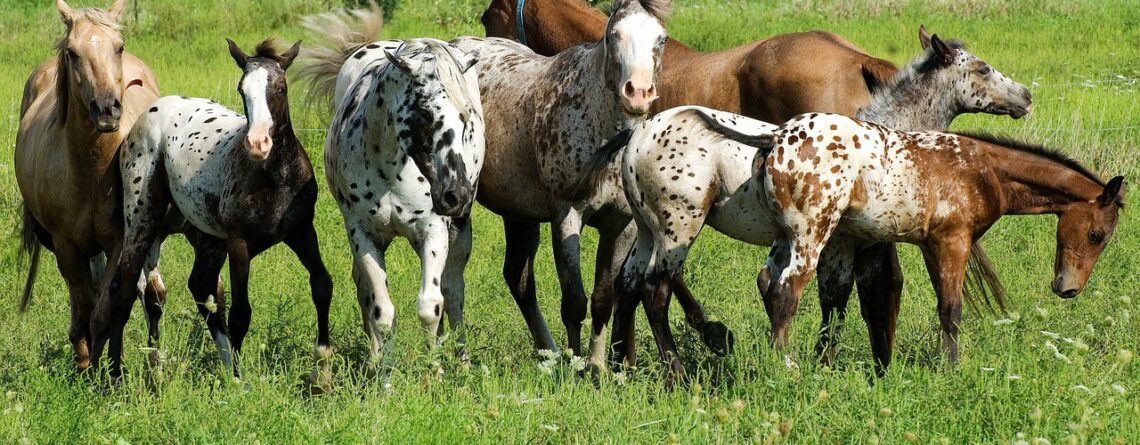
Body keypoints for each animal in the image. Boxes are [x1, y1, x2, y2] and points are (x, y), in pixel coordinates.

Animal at [14, 0, 164, 371]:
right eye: (72, 52)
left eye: (119, 47)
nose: (107, 109)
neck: (92, 172)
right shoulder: (66, 246)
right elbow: (84, 306)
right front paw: (85, 365)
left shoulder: (118, 242)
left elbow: (102, 312)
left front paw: (103, 372)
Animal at [296, 11, 483, 365]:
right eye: (425, 112)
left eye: (466, 117)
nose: (456, 195)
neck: (392, 170)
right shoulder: (363, 235)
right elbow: (380, 310)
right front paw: (383, 370)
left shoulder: (433, 230)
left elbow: (430, 306)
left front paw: (434, 371)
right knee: (364, 290)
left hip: (458, 232)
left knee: (453, 290)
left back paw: (463, 361)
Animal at [449, 0, 670, 367]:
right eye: (614, 34)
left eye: (661, 38)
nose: (638, 93)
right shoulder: (567, 216)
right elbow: (574, 302)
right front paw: (575, 365)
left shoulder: (620, 226)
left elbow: (602, 299)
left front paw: (596, 367)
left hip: (518, 212)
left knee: (518, 278)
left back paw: (549, 353)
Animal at [560, 26, 1035, 383]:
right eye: (981, 68)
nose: (1025, 96)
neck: (881, 141)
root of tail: (636, 137)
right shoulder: (843, 242)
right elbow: (864, 295)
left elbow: (836, 296)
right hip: (678, 229)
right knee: (654, 289)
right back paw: (676, 370)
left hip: (646, 229)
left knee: (627, 285)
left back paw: (621, 366)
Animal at [752, 114, 1126, 365]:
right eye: (1096, 235)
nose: (1068, 288)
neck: (985, 169)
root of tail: (778, 138)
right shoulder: (953, 242)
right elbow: (952, 308)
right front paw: (951, 368)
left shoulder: (933, 247)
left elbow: (942, 306)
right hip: (810, 234)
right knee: (787, 291)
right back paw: (783, 364)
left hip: (789, 237)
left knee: (770, 283)